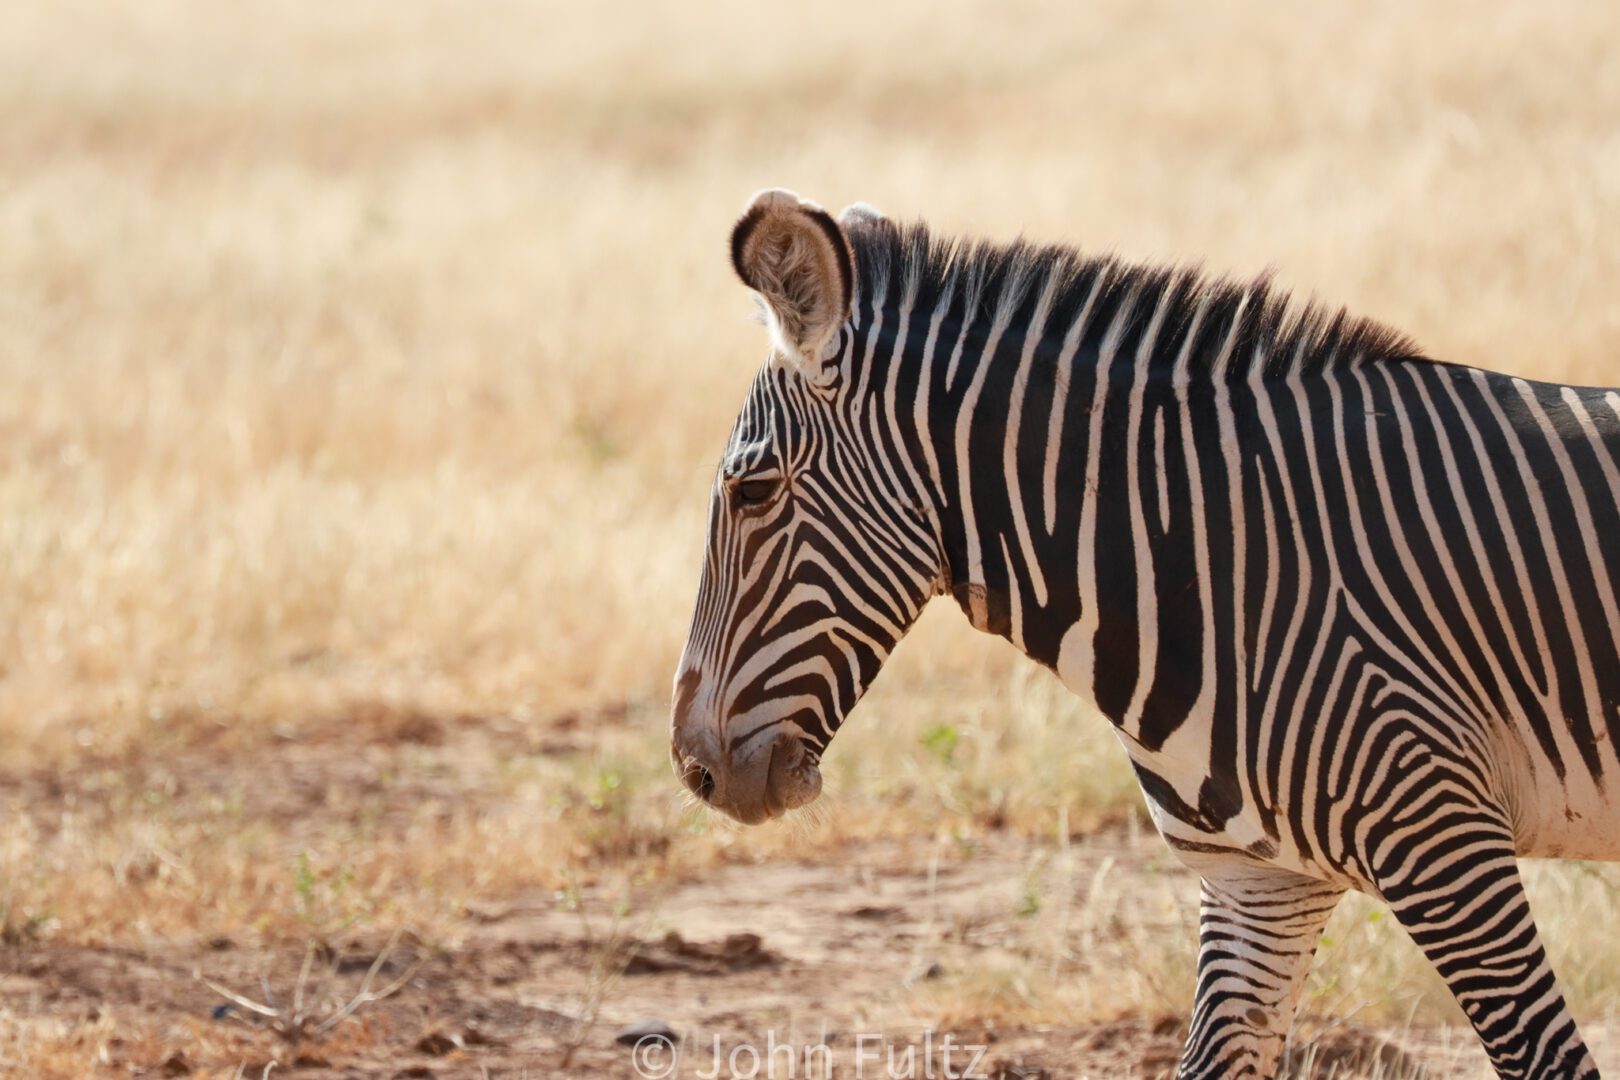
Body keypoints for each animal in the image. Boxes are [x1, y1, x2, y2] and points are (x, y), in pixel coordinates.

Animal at [667, 190, 1620, 1075]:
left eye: (753, 491)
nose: (695, 769)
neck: (1225, 554)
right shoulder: (1259, 880)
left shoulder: (1443, 837)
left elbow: (1546, 1057)